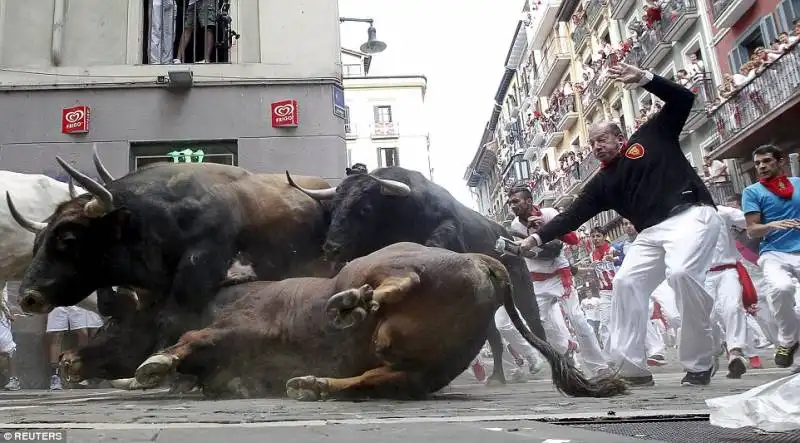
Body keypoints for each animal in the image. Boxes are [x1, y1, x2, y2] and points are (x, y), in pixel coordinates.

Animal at [95, 245, 624, 400]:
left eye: (114, 326)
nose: (80, 361)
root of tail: (484, 261)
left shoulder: (236, 327)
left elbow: (189, 340)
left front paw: (152, 366)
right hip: (421, 368)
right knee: (375, 376)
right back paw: (311, 383)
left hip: (387, 263)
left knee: (395, 280)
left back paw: (350, 304)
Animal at [286, 166, 552, 386]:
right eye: (333, 208)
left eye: (365, 208)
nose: (331, 247)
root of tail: (505, 233)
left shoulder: (445, 228)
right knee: (494, 335)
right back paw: (496, 376)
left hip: (521, 285)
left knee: (534, 321)